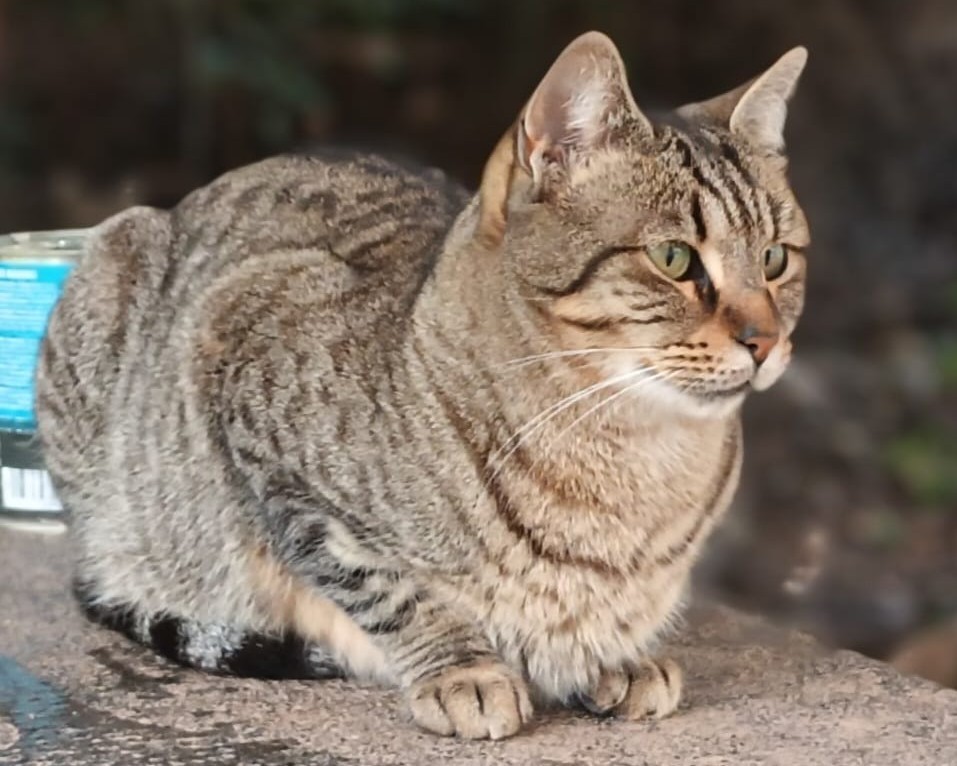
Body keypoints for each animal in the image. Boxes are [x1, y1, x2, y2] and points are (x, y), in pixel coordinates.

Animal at [35, 31, 809, 739]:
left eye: (775, 259)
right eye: (673, 258)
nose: (765, 341)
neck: (632, 458)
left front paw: (611, 654)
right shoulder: (247, 377)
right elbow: (386, 585)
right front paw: (464, 667)